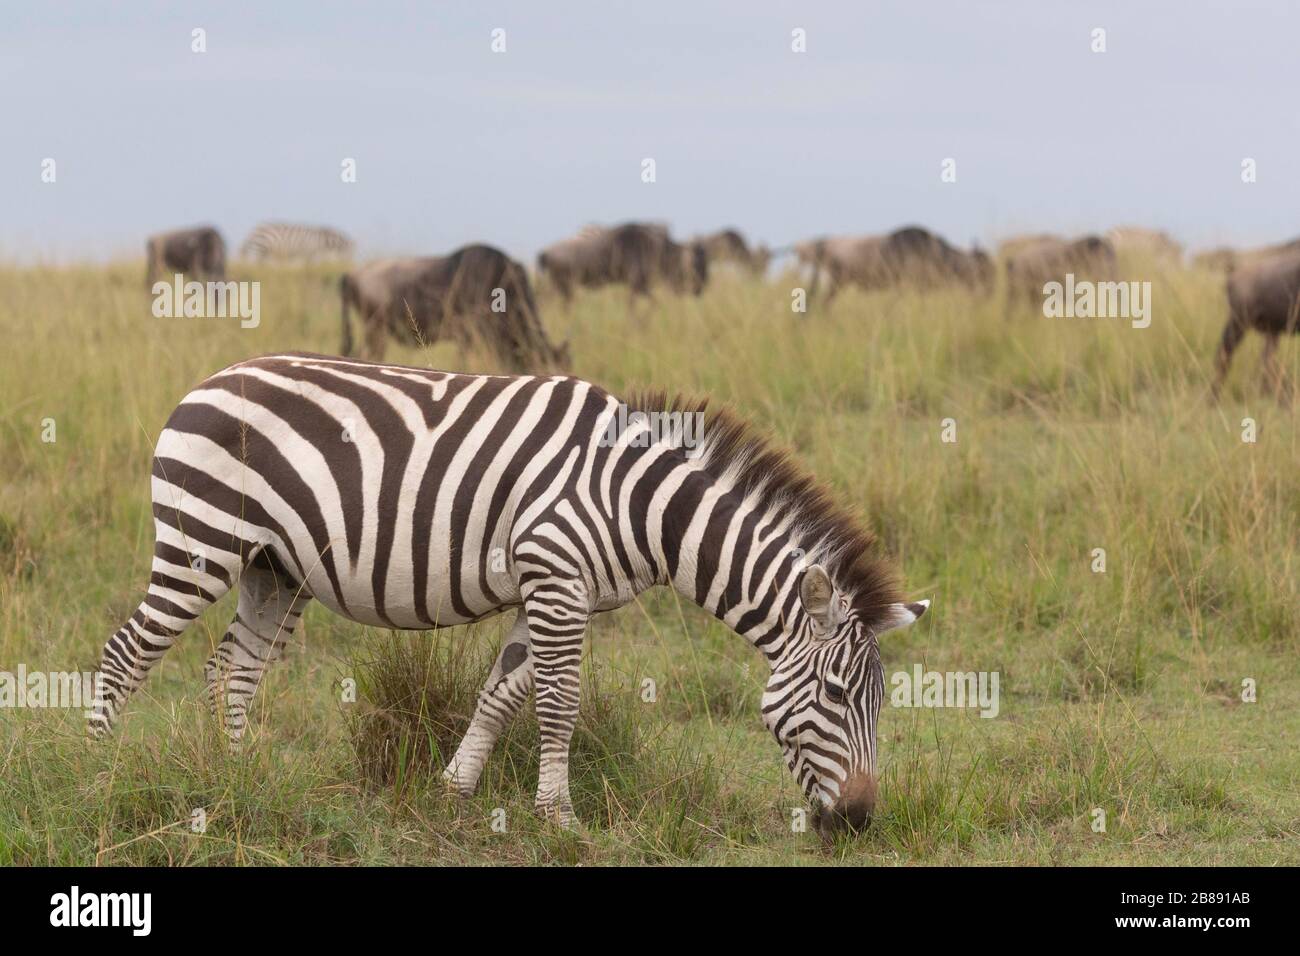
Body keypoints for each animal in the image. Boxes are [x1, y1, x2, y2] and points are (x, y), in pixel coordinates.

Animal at [89, 353, 928, 834]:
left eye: (881, 704)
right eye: (832, 693)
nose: (860, 821)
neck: (637, 502)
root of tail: (206, 382)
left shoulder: (552, 590)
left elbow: (502, 693)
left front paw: (455, 789)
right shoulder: (554, 575)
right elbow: (558, 703)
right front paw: (559, 817)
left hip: (275, 568)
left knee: (231, 669)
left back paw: (235, 780)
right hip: (202, 541)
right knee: (123, 656)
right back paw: (97, 776)